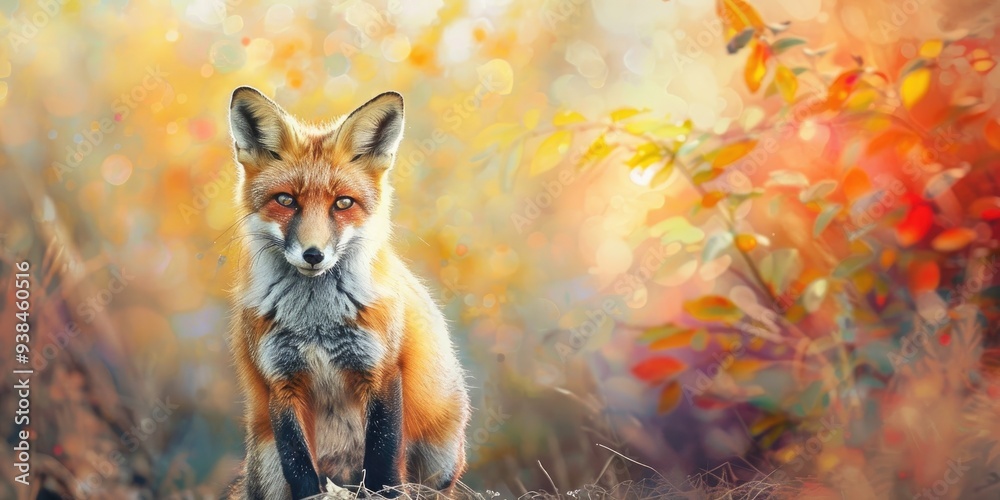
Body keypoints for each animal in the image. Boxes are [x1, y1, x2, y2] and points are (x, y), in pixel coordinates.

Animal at [223, 86, 470, 499]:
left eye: (343, 203)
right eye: (286, 200)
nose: (313, 254)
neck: (315, 323)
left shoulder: (381, 371)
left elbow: (383, 465)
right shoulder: (280, 383)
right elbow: (302, 473)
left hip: (442, 456)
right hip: (267, 463)